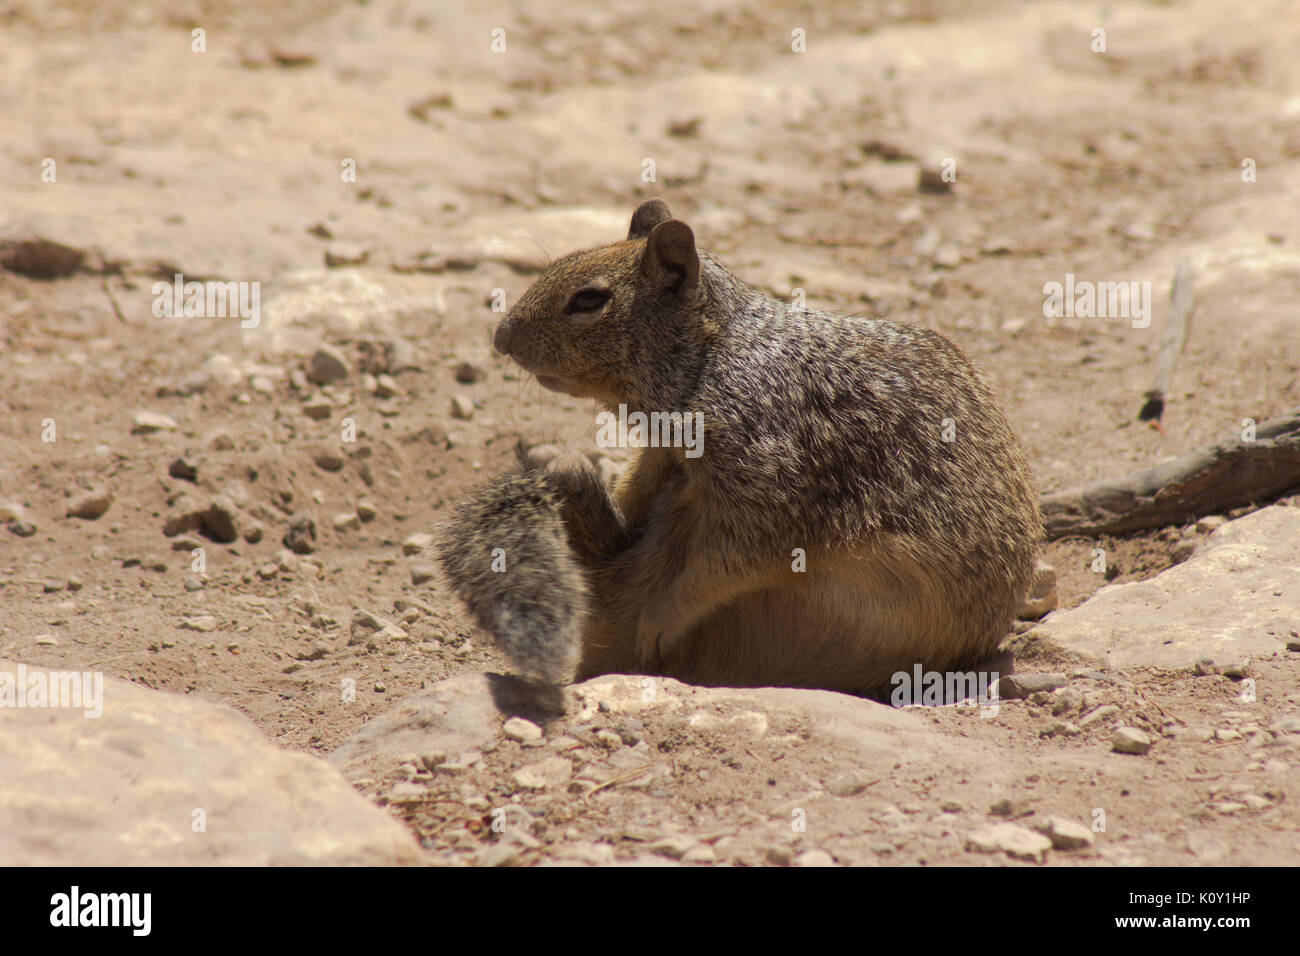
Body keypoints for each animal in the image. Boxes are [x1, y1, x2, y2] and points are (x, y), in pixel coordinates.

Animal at [441, 200, 1040, 697]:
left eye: (589, 299)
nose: (500, 339)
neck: (711, 356)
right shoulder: (665, 452)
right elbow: (639, 486)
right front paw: (616, 508)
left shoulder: (766, 487)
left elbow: (723, 565)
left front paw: (661, 616)